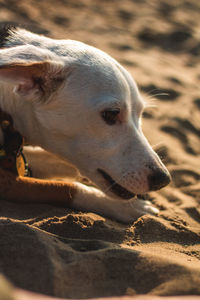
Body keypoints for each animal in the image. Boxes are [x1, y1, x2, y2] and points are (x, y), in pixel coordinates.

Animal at [0, 25, 170, 223]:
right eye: (111, 114)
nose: (163, 179)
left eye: (140, 114)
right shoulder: (8, 182)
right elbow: (65, 187)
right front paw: (128, 207)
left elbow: (54, 161)